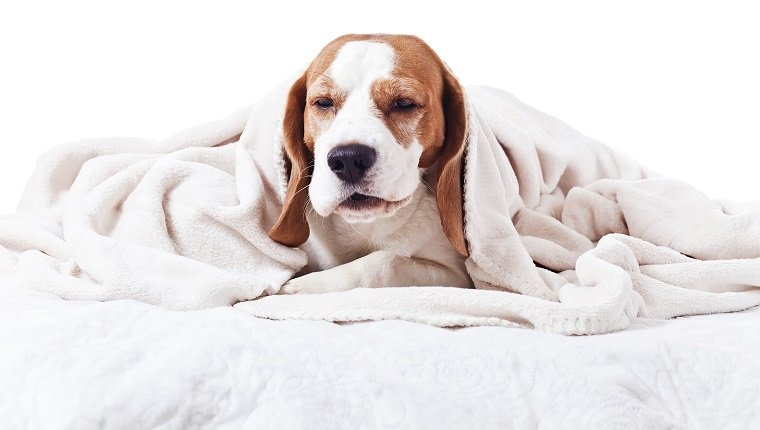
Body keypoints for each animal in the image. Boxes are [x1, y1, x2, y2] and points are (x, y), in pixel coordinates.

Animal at [268, 35, 470, 294]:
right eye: (323, 102)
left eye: (404, 103)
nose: (348, 159)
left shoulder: (459, 277)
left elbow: (387, 261)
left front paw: (307, 285)